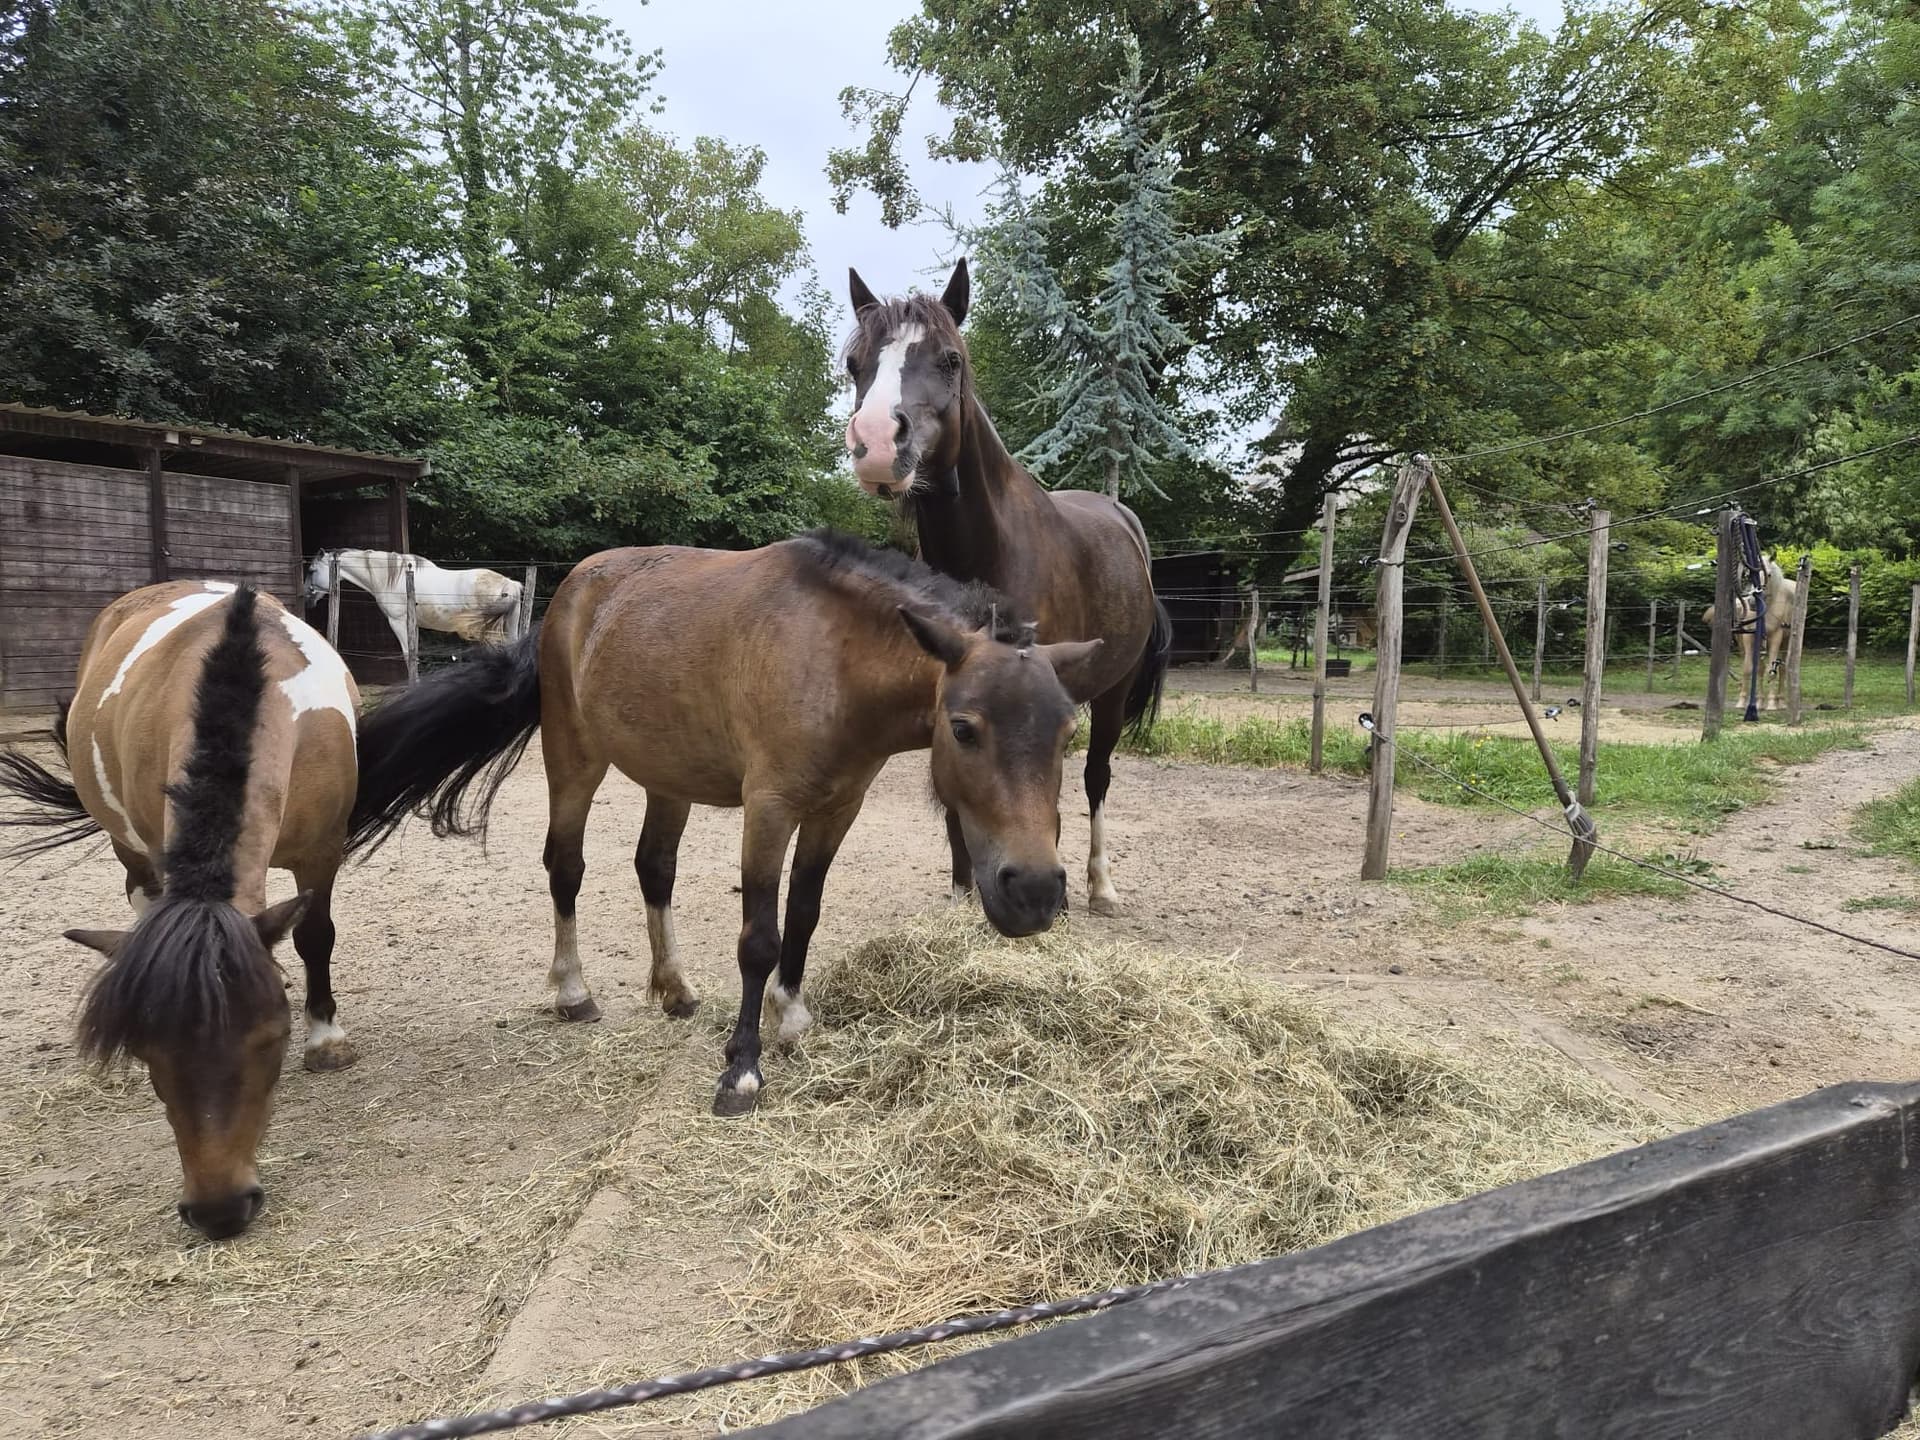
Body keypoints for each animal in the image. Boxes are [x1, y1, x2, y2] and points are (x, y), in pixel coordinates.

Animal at [0, 582, 360, 1239]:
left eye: (273, 1037)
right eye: (148, 1052)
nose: (219, 1210)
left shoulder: (324, 849)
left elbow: (315, 936)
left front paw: (326, 1038)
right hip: (129, 847)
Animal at [305, 549, 523, 647]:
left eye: (312, 570)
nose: (307, 597)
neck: (393, 577)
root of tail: (509, 584)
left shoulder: (398, 622)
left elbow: (408, 654)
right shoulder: (413, 624)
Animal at [342, 530, 1103, 1116]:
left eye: (1068, 732)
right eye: (964, 729)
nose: (1036, 891)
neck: (832, 655)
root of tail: (572, 592)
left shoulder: (837, 809)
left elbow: (804, 914)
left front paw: (790, 1017)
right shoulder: (769, 809)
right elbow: (759, 938)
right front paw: (741, 1068)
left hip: (667, 779)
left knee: (654, 868)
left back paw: (674, 987)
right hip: (575, 760)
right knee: (566, 867)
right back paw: (573, 991)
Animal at [843, 260, 1172, 916]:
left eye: (950, 359)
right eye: (854, 363)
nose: (875, 443)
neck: (989, 551)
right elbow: (958, 800)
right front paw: (962, 896)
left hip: (1114, 692)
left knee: (1096, 779)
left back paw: (1099, 886)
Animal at [1702, 554, 1797, 713]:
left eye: (1768, 574)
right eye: (1749, 574)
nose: (1752, 601)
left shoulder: (1776, 637)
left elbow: (1771, 670)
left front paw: (1771, 704)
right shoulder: (1749, 637)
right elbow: (1749, 668)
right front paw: (1744, 702)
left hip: (1787, 641)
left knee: (1782, 669)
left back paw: (1781, 702)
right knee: (1760, 668)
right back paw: (1760, 701)